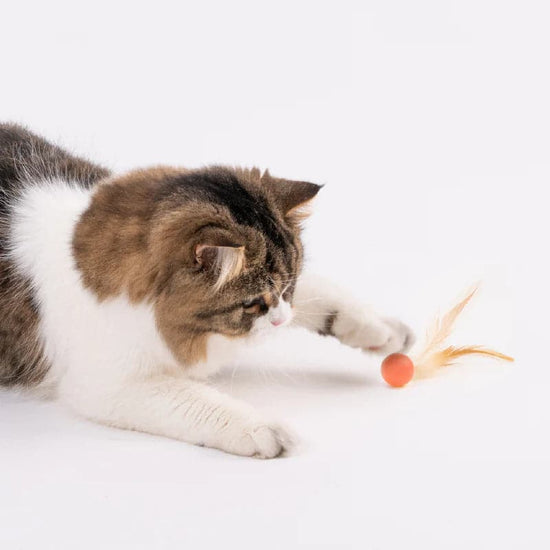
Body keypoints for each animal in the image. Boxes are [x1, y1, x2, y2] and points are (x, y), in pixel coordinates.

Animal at [0, 124, 414, 458]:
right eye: (254, 304)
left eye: (288, 288)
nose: (281, 320)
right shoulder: (107, 383)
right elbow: (195, 403)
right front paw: (261, 429)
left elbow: (322, 291)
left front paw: (380, 328)